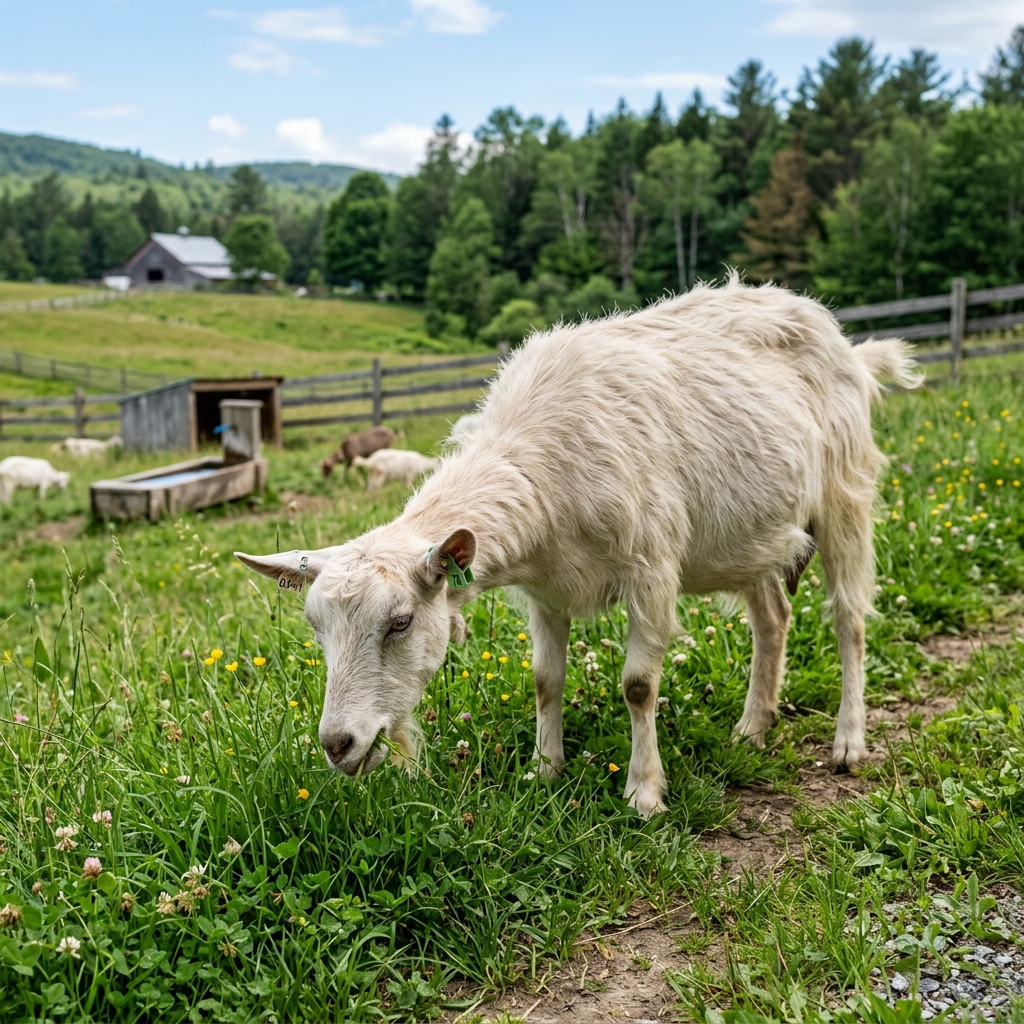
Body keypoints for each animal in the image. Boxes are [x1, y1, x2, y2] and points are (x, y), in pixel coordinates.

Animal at [237, 277, 920, 817]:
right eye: (316, 628)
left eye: (400, 622)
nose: (337, 746)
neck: (538, 465)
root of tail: (840, 338)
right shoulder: (545, 591)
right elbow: (545, 679)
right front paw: (545, 771)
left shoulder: (651, 570)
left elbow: (639, 686)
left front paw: (645, 794)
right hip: (754, 534)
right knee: (773, 617)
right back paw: (753, 728)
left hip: (844, 496)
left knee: (850, 620)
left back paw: (848, 743)